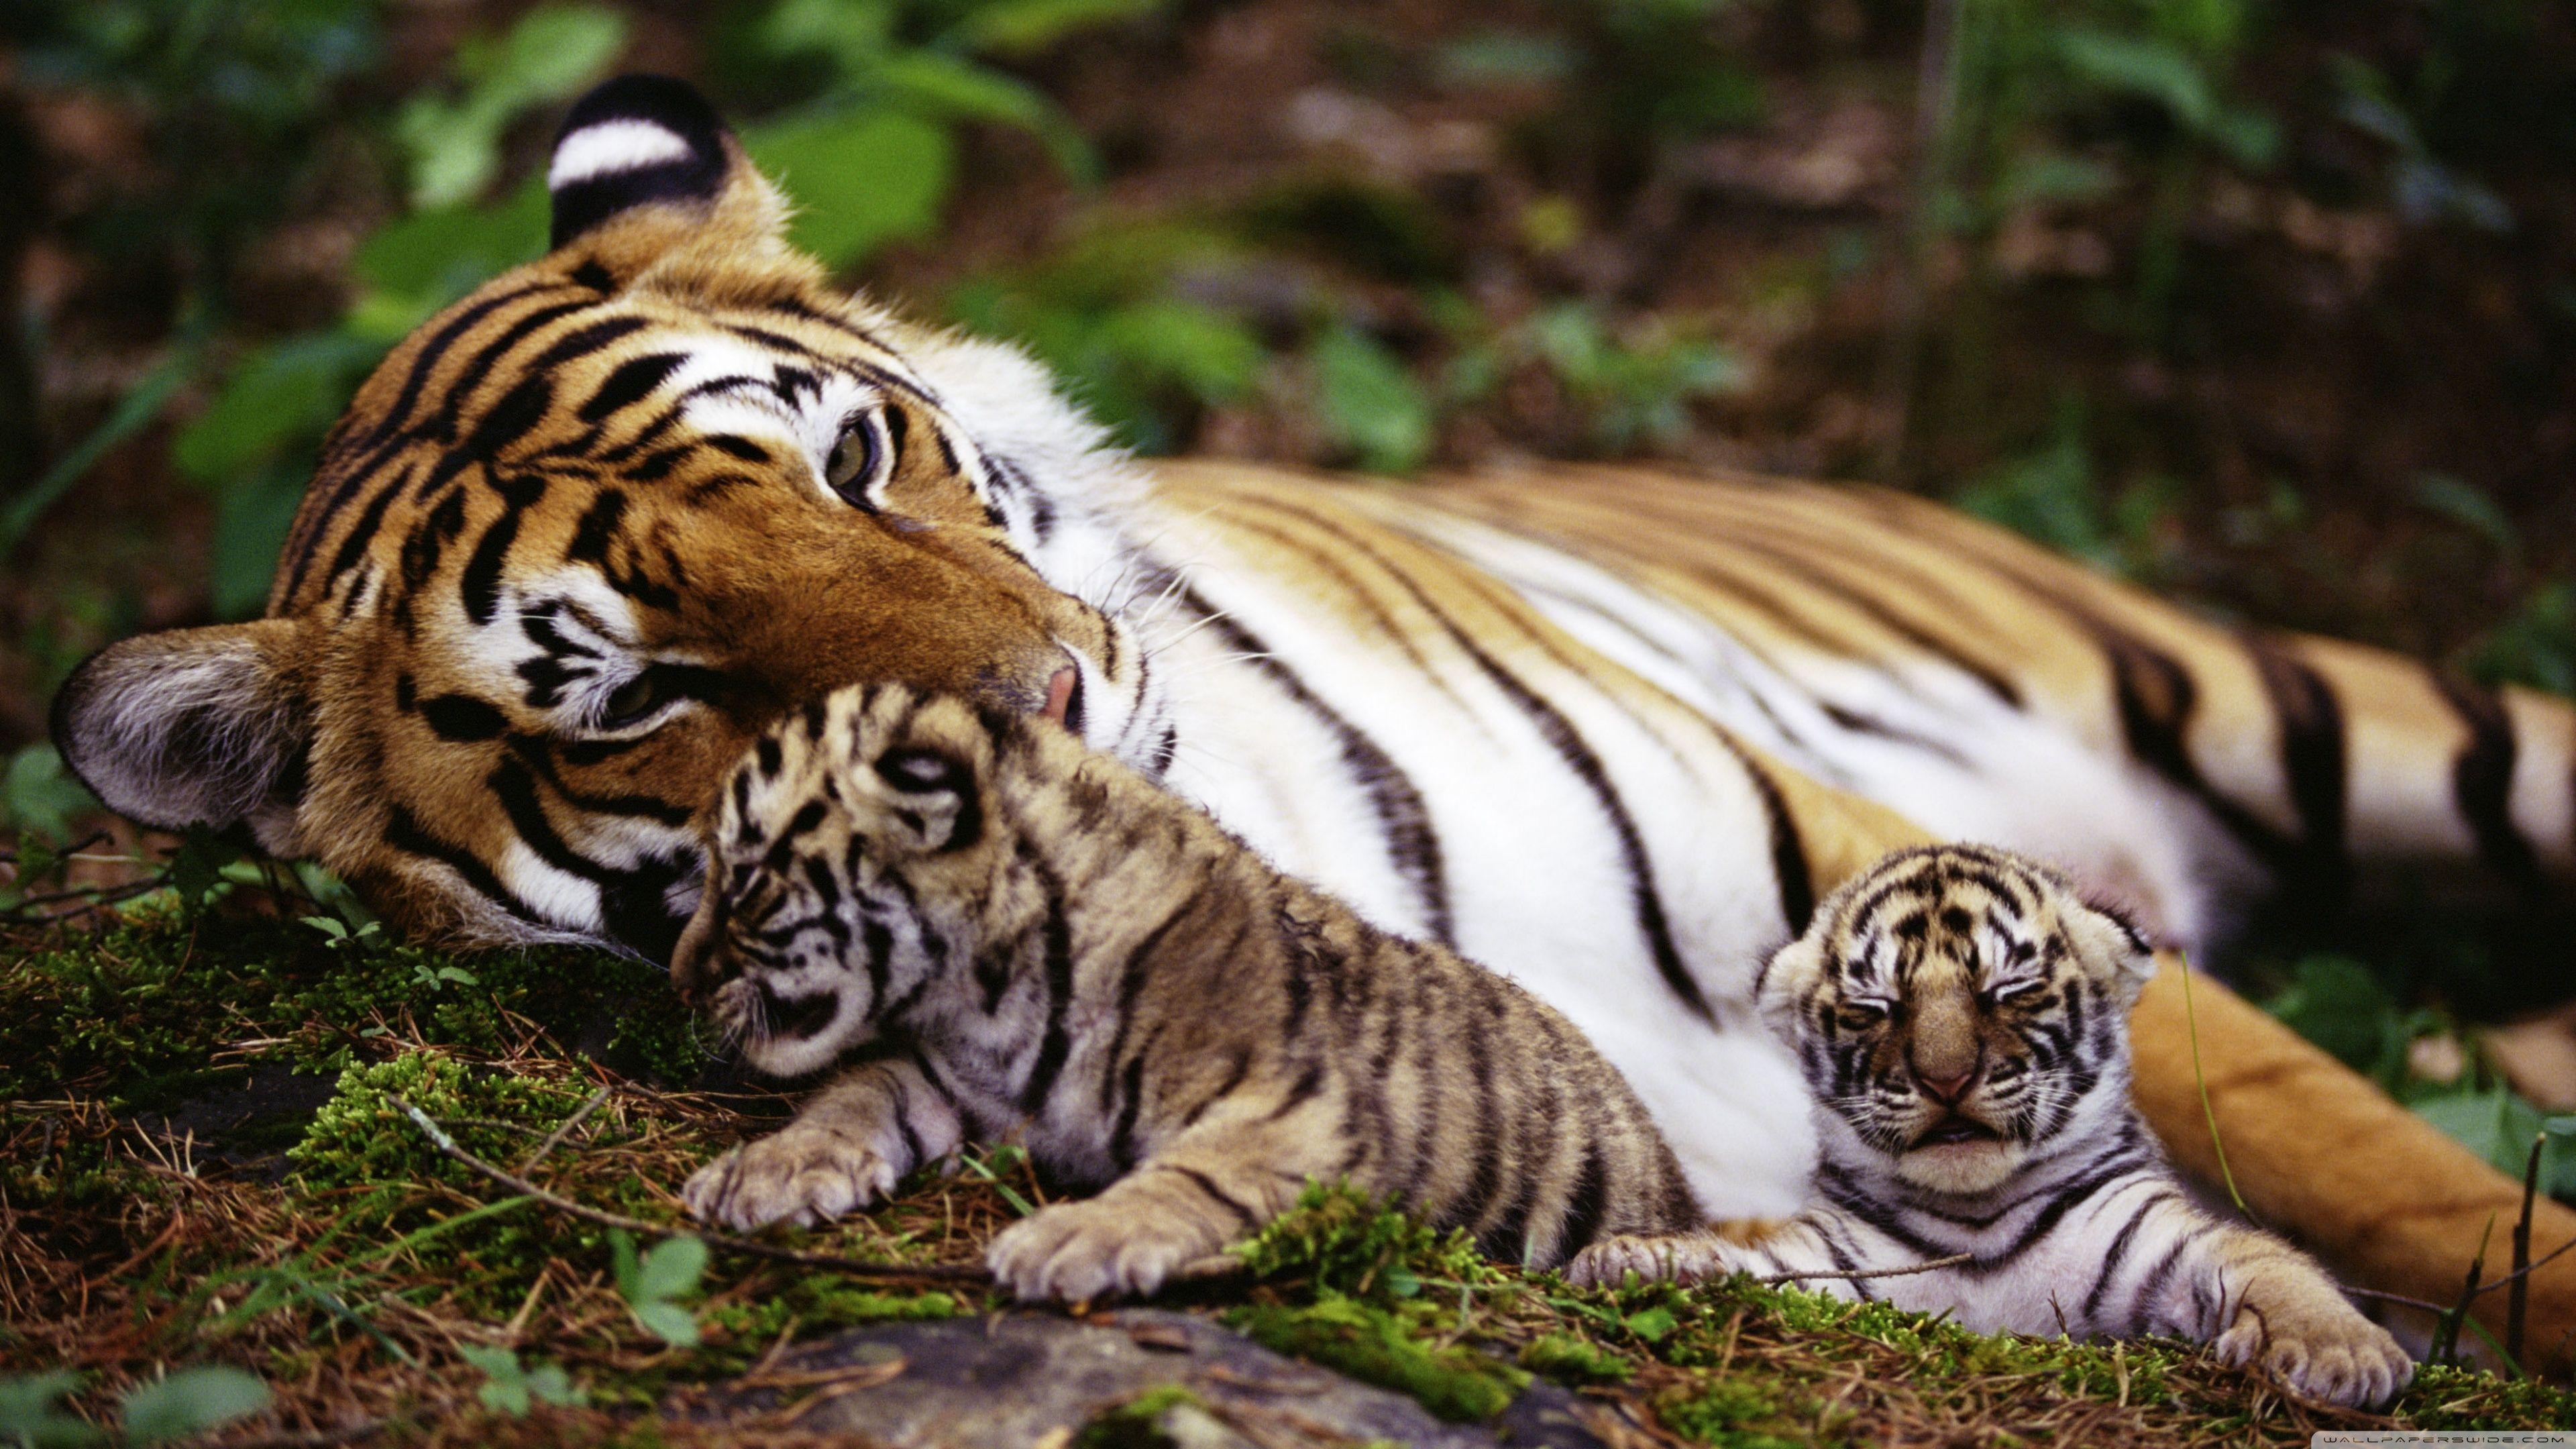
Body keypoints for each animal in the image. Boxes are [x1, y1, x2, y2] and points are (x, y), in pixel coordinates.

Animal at [671, 681, 1707, 1300]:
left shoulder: (1295, 1113)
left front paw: (1064, 1242)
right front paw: (767, 1172)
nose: (681, 978)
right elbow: (854, 1095)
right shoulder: (945, 1075)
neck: (983, 991)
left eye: (745, 878)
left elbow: (1186, 1179)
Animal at [1567, 844, 2413, 1407]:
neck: (1977, 1223)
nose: (1946, 1079)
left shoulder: (2163, 1241)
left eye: (2007, 991)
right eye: (1876, 1008)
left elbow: (2271, 1260)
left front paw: (2341, 1353)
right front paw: (1641, 1258)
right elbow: (1751, 1260)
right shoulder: (1832, 1268)